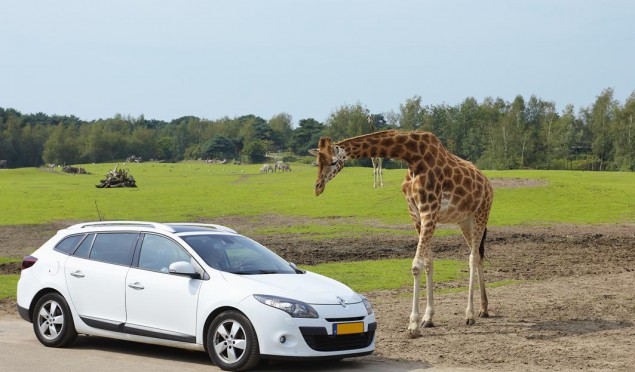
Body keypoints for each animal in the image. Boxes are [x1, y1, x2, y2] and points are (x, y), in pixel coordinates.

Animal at [310, 130, 494, 338]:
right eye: (317, 162)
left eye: (333, 161)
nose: (317, 187)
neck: (412, 157)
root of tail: (488, 183)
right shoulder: (415, 213)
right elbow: (428, 262)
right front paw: (428, 318)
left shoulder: (429, 211)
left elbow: (416, 265)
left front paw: (413, 325)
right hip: (464, 220)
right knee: (478, 255)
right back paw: (483, 309)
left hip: (481, 214)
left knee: (472, 257)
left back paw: (469, 314)